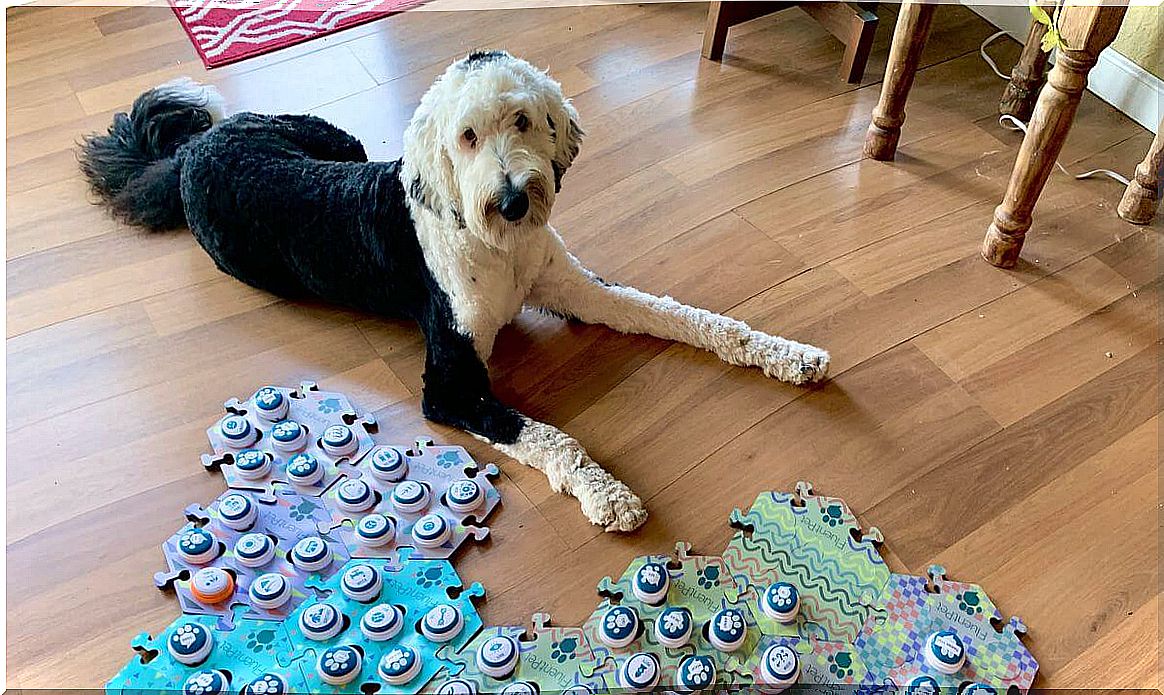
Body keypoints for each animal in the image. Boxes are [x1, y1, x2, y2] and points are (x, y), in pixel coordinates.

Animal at [79, 50, 828, 530]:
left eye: (521, 119)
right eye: (466, 136)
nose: (515, 199)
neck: (498, 246)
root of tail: (191, 150)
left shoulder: (579, 288)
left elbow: (681, 315)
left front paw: (781, 352)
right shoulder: (449, 383)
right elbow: (545, 434)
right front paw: (607, 494)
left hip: (340, 146)